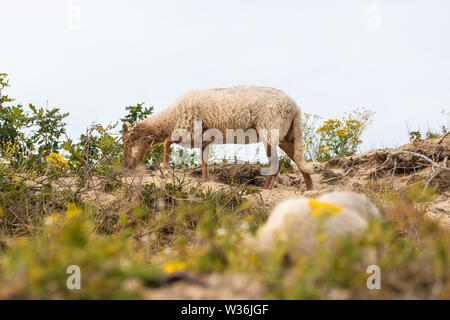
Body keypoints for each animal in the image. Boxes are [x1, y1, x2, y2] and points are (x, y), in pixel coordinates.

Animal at [122, 85, 312, 190]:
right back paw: (309, 190)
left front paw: (165, 168)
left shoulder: (189, 131)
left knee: (275, 165)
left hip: (269, 131)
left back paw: (266, 189)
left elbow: (167, 142)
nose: (126, 167)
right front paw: (205, 180)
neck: (170, 118)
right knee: (299, 160)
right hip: (286, 136)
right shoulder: (203, 140)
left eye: (128, 142)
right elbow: (204, 162)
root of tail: (295, 107)